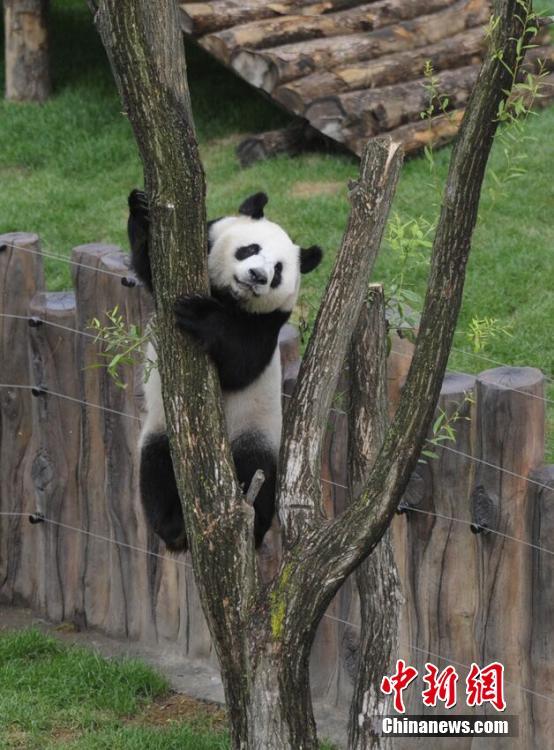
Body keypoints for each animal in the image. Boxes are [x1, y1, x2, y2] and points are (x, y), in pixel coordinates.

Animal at [128, 189, 323, 551]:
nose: (258, 276)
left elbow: (240, 363)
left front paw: (200, 316)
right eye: (250, 249)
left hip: (255, 432)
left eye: (278, 270)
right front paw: (141, 206)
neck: (229, 298)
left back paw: (253, 524)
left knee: (256, 470)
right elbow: (149, 268)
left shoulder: (267, 324)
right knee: (156, 470)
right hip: (161, 432)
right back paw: (172, 525)